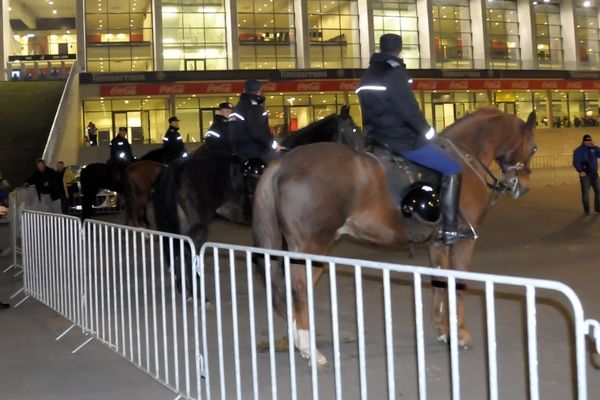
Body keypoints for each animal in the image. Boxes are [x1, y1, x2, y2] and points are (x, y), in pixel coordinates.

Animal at [251, 108, 536, 366]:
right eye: (533, 148)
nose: (521, 187)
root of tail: (283, 163)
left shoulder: (437, 244)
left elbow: (439, 281)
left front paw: (443, 329)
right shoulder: (464, 242)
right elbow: (458, 284)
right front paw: (460, 333)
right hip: (313, 247)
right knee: (299, 289)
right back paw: (311, 350)